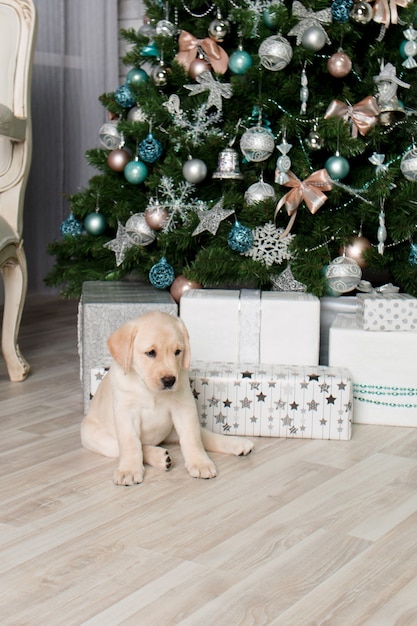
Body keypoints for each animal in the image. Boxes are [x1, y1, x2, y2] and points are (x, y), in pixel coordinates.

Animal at [79, 310, 252, 482]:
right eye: (150, 353)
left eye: (178, 352)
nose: (169, 380)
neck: (148, 389)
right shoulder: (126, 413)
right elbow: (131, 444)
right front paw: (129, 469)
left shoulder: (184, 407)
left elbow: (192, 439)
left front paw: (199, 462)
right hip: (98, 438)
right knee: (137, 447)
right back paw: (160, 457)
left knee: (203, 435)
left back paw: (237, 443)